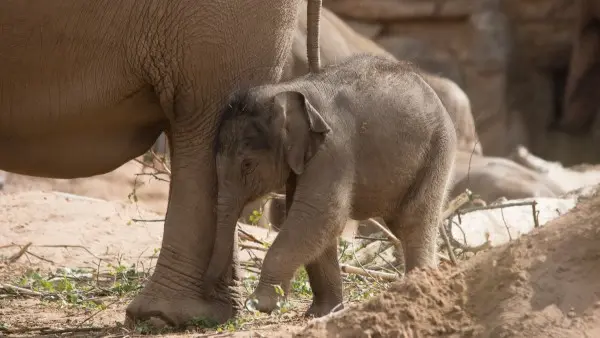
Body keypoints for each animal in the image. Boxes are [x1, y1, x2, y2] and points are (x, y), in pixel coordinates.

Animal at [204, 54, 458, 318]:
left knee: (413, 221)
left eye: (247, 164)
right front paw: (323, 312)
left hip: (439, 151)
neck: (287, 89)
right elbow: (313, 221)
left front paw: (259, 304)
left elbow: (320, 214)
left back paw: (417, 292)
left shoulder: (333, 149)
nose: (209, 291)